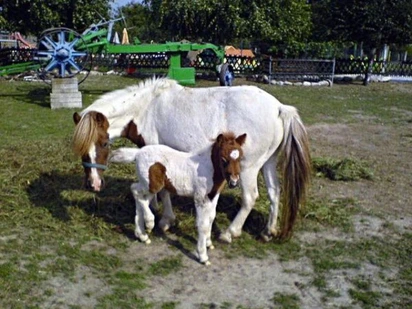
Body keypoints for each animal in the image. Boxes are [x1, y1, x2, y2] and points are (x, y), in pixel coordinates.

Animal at [72, 77, 310, 241]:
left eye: (104, 143)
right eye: (81, 148)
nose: (94, 184)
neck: (146, 108)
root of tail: (279, 108)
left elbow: (165, 190)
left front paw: (164, 220)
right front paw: (153, 206)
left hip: (247, 168)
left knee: (250, 197)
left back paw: (229, 233)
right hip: (268, 163)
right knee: (274, 193)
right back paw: (268, 231)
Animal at [108, 131, 248, 264]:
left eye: (240, 158)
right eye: (223, 158)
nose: (234, 182)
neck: (209, 168)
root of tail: (138, 153)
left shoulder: (213, 197)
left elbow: (211, 218)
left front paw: (208, 243)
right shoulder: (200, 198)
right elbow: (202, 224)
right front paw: (203, 256)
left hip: (150, 185)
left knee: (138, 194)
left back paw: (142, 235)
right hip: (152, 185)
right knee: (136, 192)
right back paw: (149, 222)